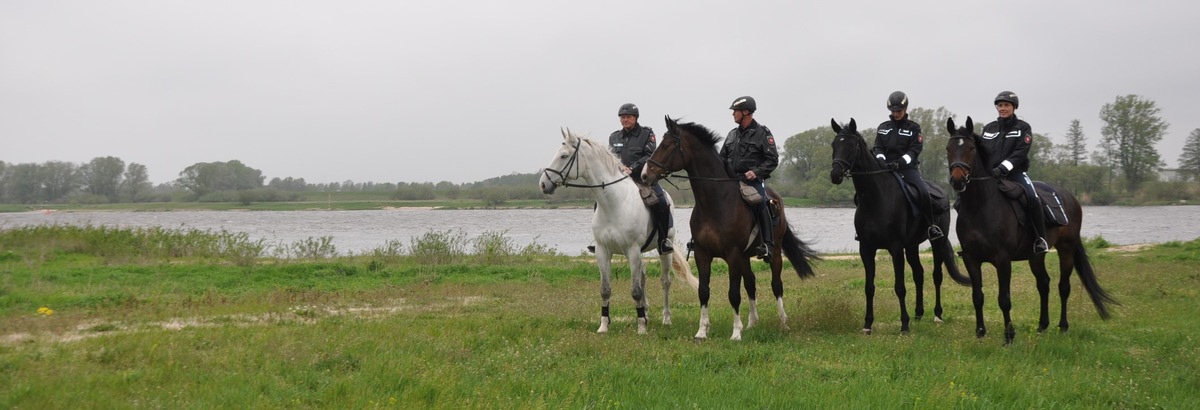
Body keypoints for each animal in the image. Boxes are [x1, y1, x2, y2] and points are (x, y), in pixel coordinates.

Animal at [540, 129, 700, 335]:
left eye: (564, 156)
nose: (543, 184)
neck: (614, 203)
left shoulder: (632, 250)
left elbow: (635, 291)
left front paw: (641, 328)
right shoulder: (603, 252)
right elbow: (606, 290)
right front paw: (604, 325)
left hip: (664, 249)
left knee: (665, 281)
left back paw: (666, 318)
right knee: (643, 277)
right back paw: (646, 314)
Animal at [643, 115, 820, 340]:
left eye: (666, 145)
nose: (644, 175)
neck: (715, 202)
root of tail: (775, 198)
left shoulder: (733, 255)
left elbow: (734, 294)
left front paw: (736, 333)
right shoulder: (703, 254)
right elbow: (704, 291)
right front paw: (702, 331)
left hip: (774, 253)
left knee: (776, 285)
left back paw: (783, 322)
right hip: (745, 258)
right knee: (751, 283)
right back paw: (752, 322)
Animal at [830, 116, 969, 335]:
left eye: (851, 146)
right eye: (834, 144)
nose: (835, 174)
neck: (876, 198)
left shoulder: (895, 248)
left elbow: (899, 286)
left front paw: (904, 324)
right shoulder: (866, 248)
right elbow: (869, 287)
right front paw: (867, 324)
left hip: (937, 242)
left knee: (937, 275)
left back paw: (937, 314)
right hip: (911, 246)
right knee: (919, 274)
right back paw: (918, 313)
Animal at [945, 116, 1113, 345]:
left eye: (971, 149)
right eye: (948, 148)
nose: (957, 180)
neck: (980, 207)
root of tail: (1070, 196)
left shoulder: (1003, 260)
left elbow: (1004, 299)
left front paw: (1009, 336)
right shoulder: (971, 258)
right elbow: (977, 296)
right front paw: (980, 332)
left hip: (1066, 249)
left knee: (1063, 286)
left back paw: (1063, 326)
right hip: (1036, 255)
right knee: (1044, 284)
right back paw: (1042, 326)